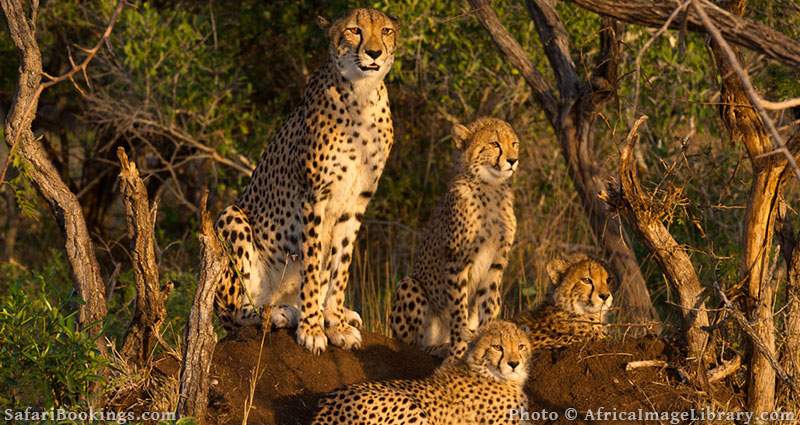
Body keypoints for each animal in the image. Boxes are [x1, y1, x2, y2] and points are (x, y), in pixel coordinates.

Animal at [212, 9, 400, 354]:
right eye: (355, 30)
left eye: (386, 31)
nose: (374, 53)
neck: (363, 95)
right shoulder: (316, 197)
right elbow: (313, 266)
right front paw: (312, 328)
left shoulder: (355, 202)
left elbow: (340, 264)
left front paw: (335, 321)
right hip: (230, 218)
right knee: (235, 314)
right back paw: (278, 313)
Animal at [392, 117, 520, 360]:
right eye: (494, 144)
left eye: (514, 143)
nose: (513, 160)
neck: (491, 188)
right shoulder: (457, 262)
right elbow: (459, 310)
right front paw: (459, 350)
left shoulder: (496, 265)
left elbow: (488, 305)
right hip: (410, 284)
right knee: (413, 344)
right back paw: (438, 348)